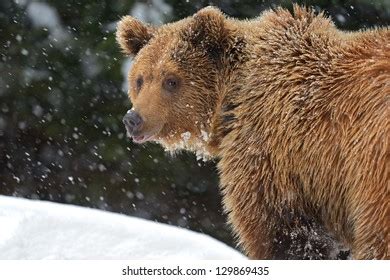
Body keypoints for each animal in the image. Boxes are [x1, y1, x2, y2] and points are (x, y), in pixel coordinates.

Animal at [117, 4, 388, 260]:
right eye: (140, 79)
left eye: (171, 80)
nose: (133, 119)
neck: (232, 99)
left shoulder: (272, 159)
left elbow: (283, 235)